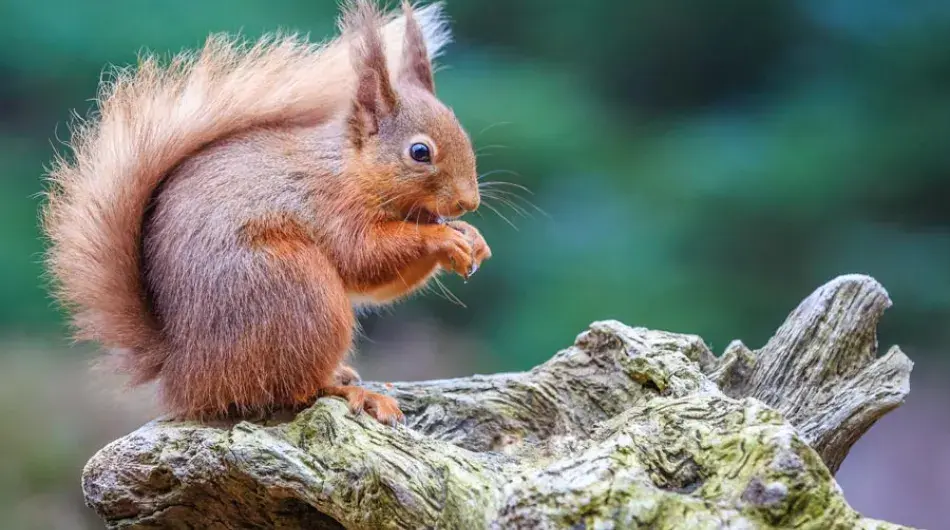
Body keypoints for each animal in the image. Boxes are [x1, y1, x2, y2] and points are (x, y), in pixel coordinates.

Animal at [40, 0, 490, 425]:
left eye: (464, 135)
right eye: (420, 152)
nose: (469, 202)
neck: (349, 168)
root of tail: (184, 372)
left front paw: (472, 239)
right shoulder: (331, 207)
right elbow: (364, 258)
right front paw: (441, 238)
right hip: (298, 292)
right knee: (293, 388)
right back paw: (351, 391)